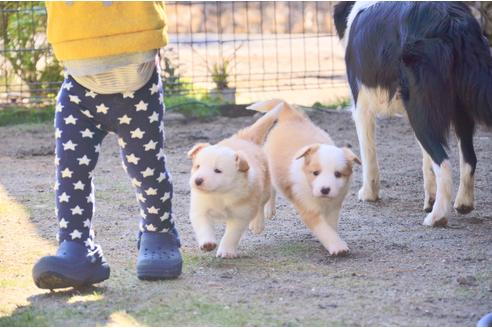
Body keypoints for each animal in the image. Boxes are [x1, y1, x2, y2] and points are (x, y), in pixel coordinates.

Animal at [188, 106, 280, 258]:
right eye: (197, 166)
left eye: (217, 170)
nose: (198, 180)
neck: (220, 193)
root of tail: (245, 139)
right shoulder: (200, 209)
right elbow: (203, 226)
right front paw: (207, 243)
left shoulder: (240, 215)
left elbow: (231, 235)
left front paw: (226, 251)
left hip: (264, 187)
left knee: (263, 202)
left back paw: (258, 222)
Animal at [248, 98, 360, 255]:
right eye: (315, 173)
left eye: (337, 174)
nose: (325, 190)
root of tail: (292, 115)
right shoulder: (307, 208)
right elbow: (324, 229)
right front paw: (338, 247)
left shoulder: (334, 206)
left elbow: (330, 227)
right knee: (268, 192)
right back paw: (259, 222)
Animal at [332, 1, 492, 226]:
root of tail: (452, 19)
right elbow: (426, 162)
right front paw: (429, 199)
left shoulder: (361, 106)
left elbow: (368, 154)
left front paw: (369, 193)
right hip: (456, 109)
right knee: (469, 158)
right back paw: (463, 203)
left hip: (419, 109)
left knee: (444, 163)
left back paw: (437, 217)